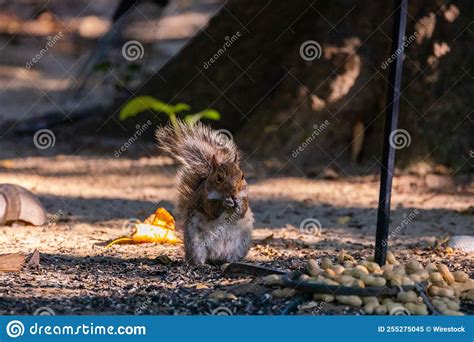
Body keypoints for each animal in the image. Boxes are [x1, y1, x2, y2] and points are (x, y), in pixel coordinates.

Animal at [155, 120, 252, 264]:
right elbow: (212, 212)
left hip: (242, 244)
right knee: (197, 256)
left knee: (230, 257)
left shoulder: (245, 197)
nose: (233, 192)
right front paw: (225, 202)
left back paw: (229, 262)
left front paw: (237, 203)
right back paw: (200, 264)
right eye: (219, 178)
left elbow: (243, 211)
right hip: (195, 243)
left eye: (242, 176)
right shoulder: (203, 199)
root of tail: (216, 256)